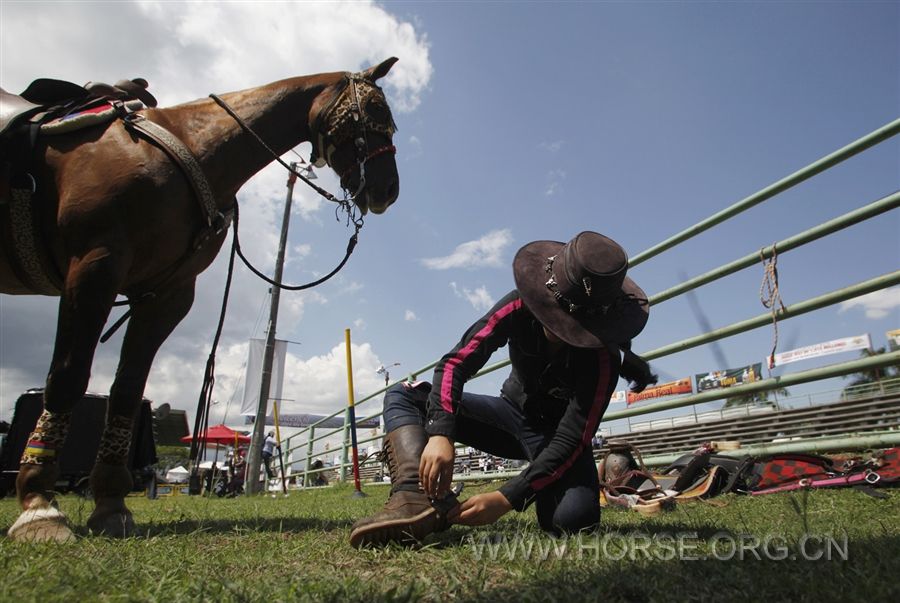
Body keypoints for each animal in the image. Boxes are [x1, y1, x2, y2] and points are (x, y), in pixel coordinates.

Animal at [0, 57, 400, 544]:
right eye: (373, 110)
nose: (388, 189)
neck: (192, 148)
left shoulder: (168, 293)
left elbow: (127, 389)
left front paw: (111, 505)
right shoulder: (94, 267)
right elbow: (67, 377)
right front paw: (40, 505)